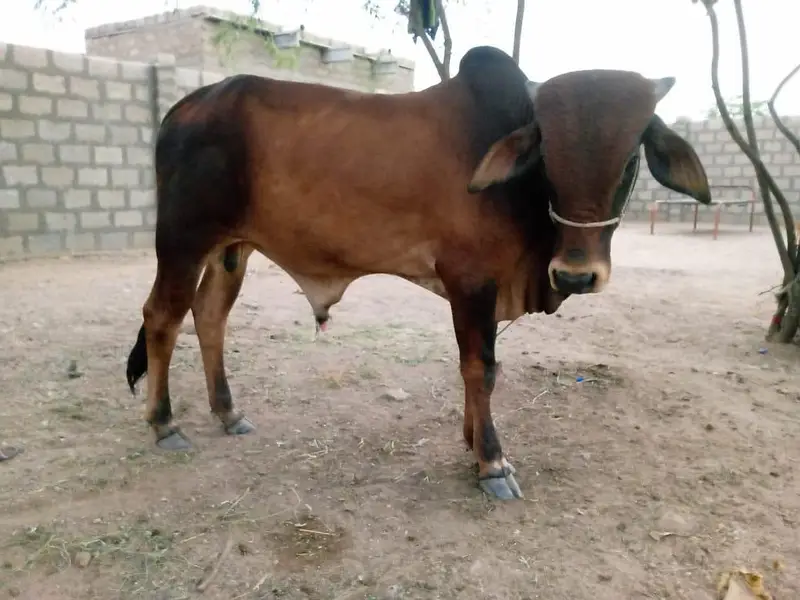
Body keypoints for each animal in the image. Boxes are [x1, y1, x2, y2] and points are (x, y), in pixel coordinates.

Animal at [126, 45, 710, 500]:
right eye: (548, 154)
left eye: (631, 158)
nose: (574, 276)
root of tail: (188, 104)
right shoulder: (469, 279)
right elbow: (481, 369)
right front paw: (491, 464)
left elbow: (480, 367)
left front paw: (473, 443)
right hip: (182, 239)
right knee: (162, 317)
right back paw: (164, 423)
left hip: (233, 248)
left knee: (208, 317)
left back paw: (228, 413)